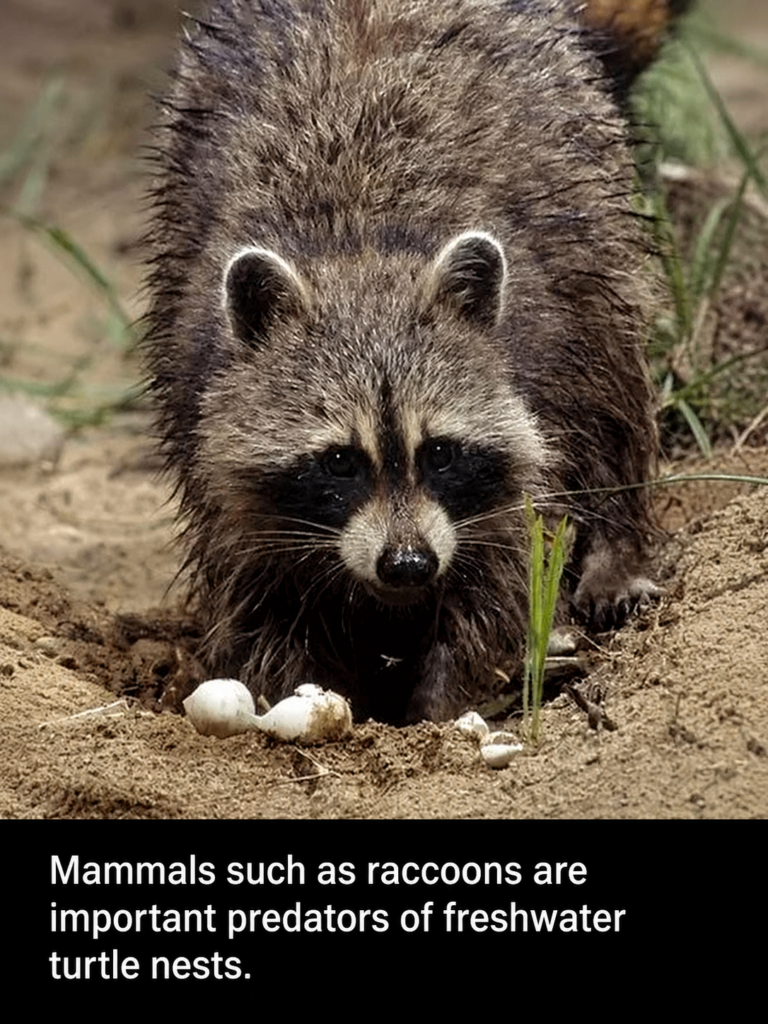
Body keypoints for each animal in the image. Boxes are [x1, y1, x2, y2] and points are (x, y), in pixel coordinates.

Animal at [146, 0, 674, 724]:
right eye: (340, 460)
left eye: (441, 452)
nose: (408, 565)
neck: (359, 254)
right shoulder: (202, 398)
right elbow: (257, 589)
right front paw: (302, 687)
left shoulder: (526, 384)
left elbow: (500, 571)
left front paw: (442, 704)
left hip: (587, 202)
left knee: (612, 376)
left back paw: (617, 545)